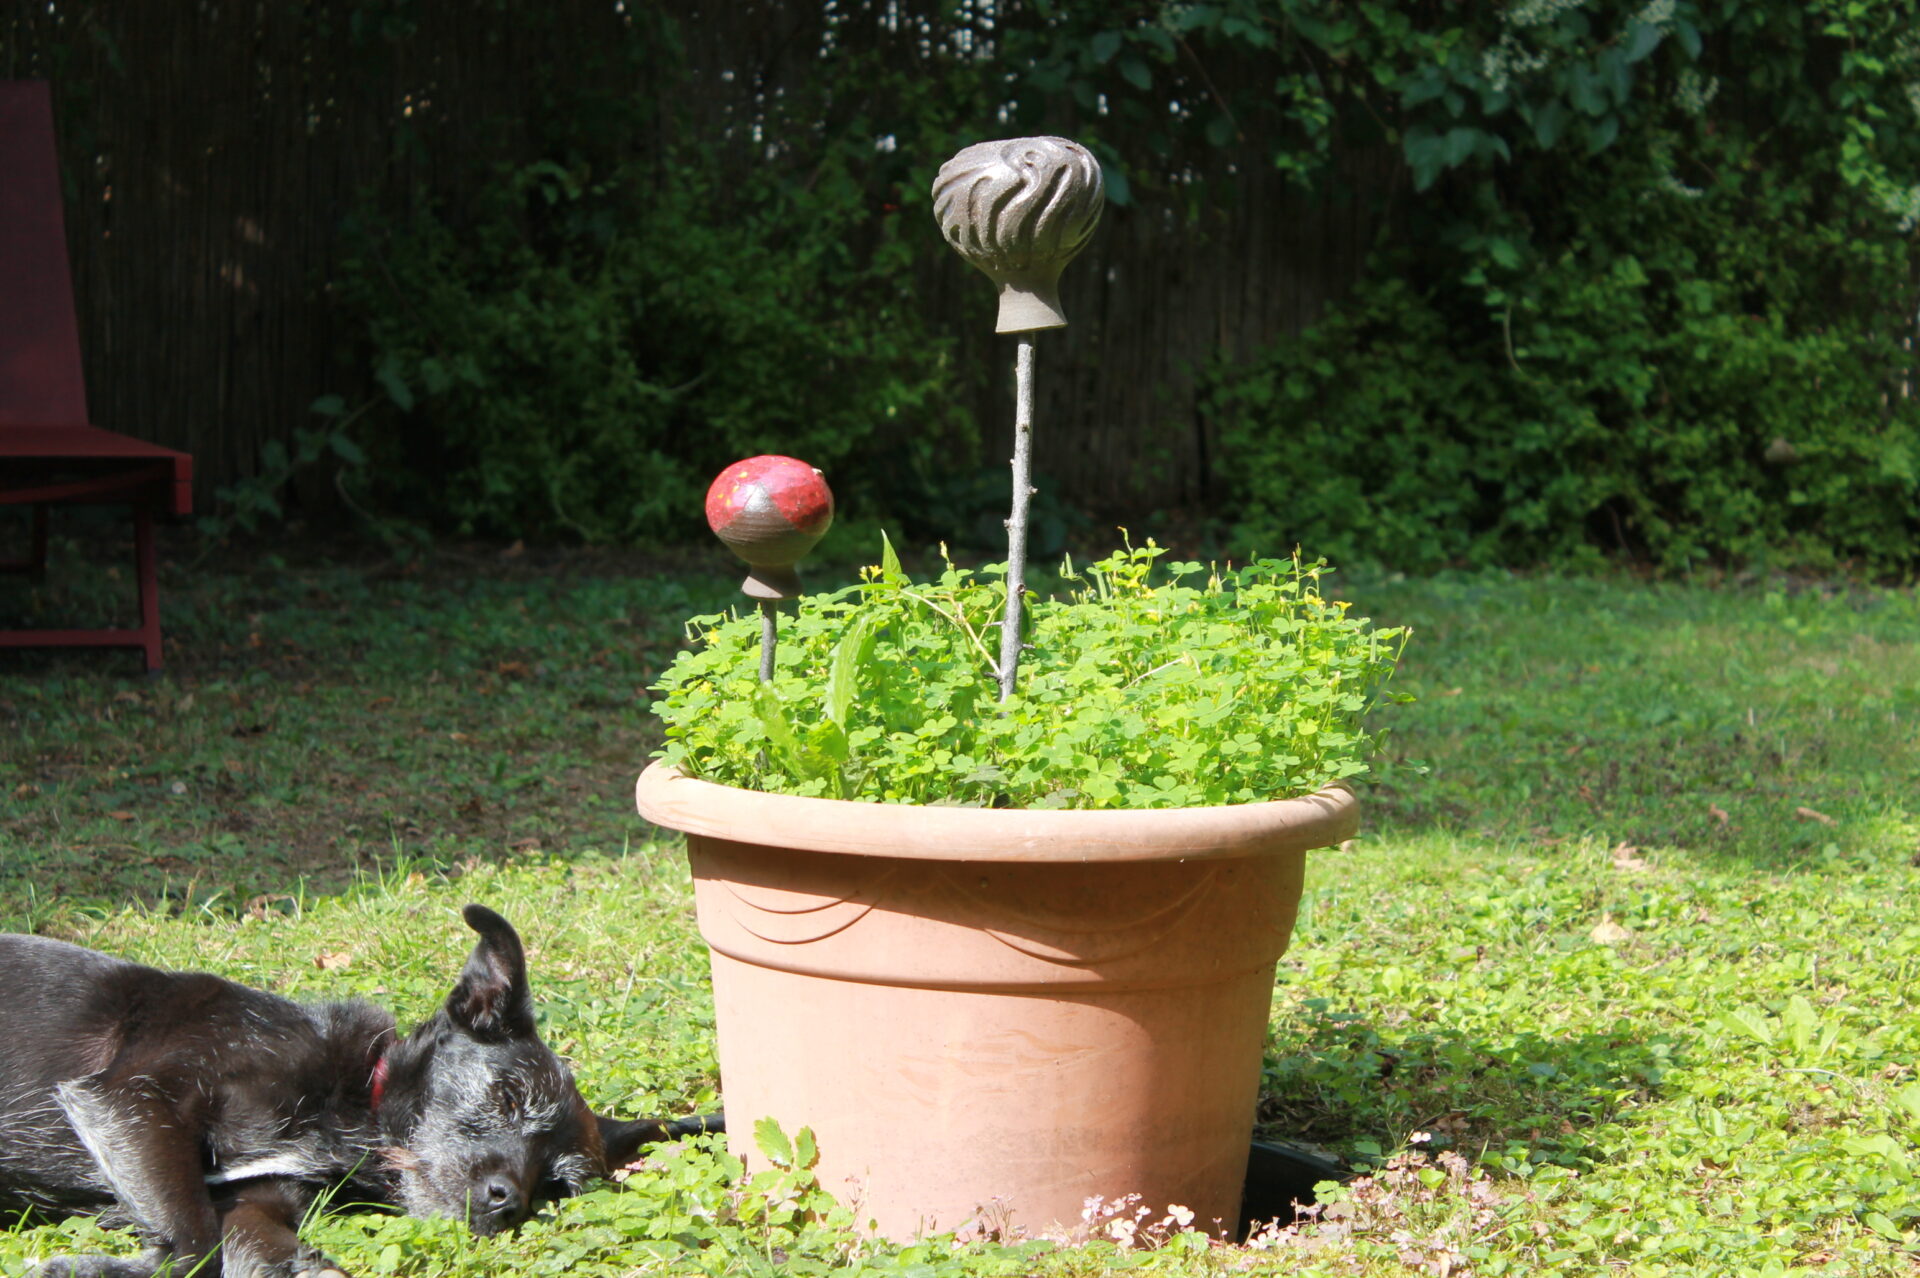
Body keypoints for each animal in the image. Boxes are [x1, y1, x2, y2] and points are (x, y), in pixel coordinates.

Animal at [0, 904, 719, 1278]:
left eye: (557, 1186)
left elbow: (252, 1250)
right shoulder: (130, 1095)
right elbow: (191, 1245)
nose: (508, 1203)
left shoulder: (252, 1202)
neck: (347, 1115)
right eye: (510, 1096)